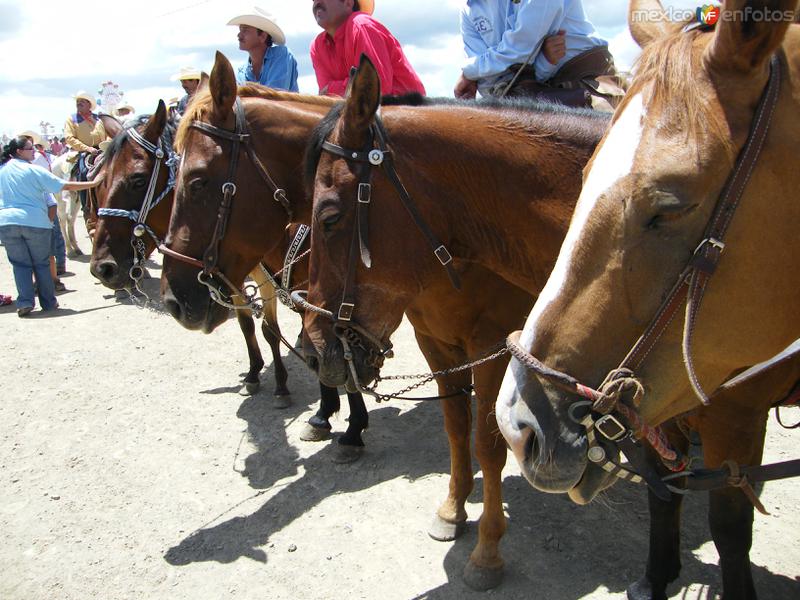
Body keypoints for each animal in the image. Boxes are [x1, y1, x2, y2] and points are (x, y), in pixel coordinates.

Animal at [88, 104, 288, 398]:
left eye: (138, 180)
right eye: (100, 183)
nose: (102, 268)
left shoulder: (268, 275)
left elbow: (270, 328)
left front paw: (282, 383)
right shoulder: (232, 277)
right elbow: (247, 323)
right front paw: (253, 372)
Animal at [302, 55, 608, 584]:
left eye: (330, 217)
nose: (313, 350)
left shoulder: (493, 349)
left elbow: (487, 443)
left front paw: (487, 551)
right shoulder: (437, 344)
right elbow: (454, 427)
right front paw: (452, 510)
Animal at [494, 1, 800, 596]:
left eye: (669, 207)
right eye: (584, 175)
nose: (519, 428)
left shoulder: (736, 419)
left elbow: (730, 529)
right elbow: (663, 494)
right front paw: (656, 578)